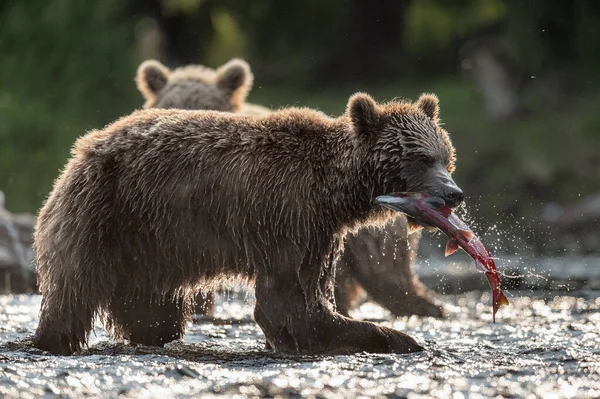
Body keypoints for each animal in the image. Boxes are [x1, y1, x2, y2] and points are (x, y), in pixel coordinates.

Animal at [32, 93, 462, 356]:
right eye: (422, 159)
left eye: (446, 156)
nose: (454, 194)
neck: (334, 192)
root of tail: (85, 147)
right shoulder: (289, 216)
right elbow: (293, 303)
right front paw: (396, 337)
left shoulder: (318, 232)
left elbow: (306, 294)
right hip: (104, 213)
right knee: (73, 291)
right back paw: (51, 339)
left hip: (152, 242)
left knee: (153, 310)